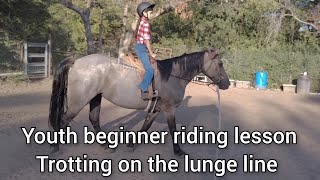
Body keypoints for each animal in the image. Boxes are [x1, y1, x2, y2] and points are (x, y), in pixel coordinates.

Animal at [48, 48, 230, 156]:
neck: (172, 76)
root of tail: (76, 61)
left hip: (95, 97)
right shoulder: (169, 110)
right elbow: (173, 130)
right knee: (63, 120)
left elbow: (145, 127)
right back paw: (55, 147)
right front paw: (179, 151)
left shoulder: (156, 109)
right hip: (79, 101)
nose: (227, 84)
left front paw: (131, 145)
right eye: (220, 63)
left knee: (94, 119)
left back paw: (106, 145)